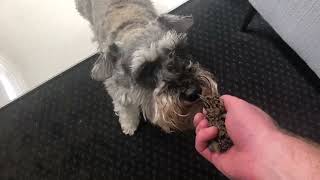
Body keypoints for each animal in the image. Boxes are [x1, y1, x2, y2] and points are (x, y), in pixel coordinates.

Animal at [75, 0, 218, 135]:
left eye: (177, 50)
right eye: (146, 69)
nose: (193, 92)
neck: (132, 28)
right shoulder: (117, 90)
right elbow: (125, 108)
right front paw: (129, 124)